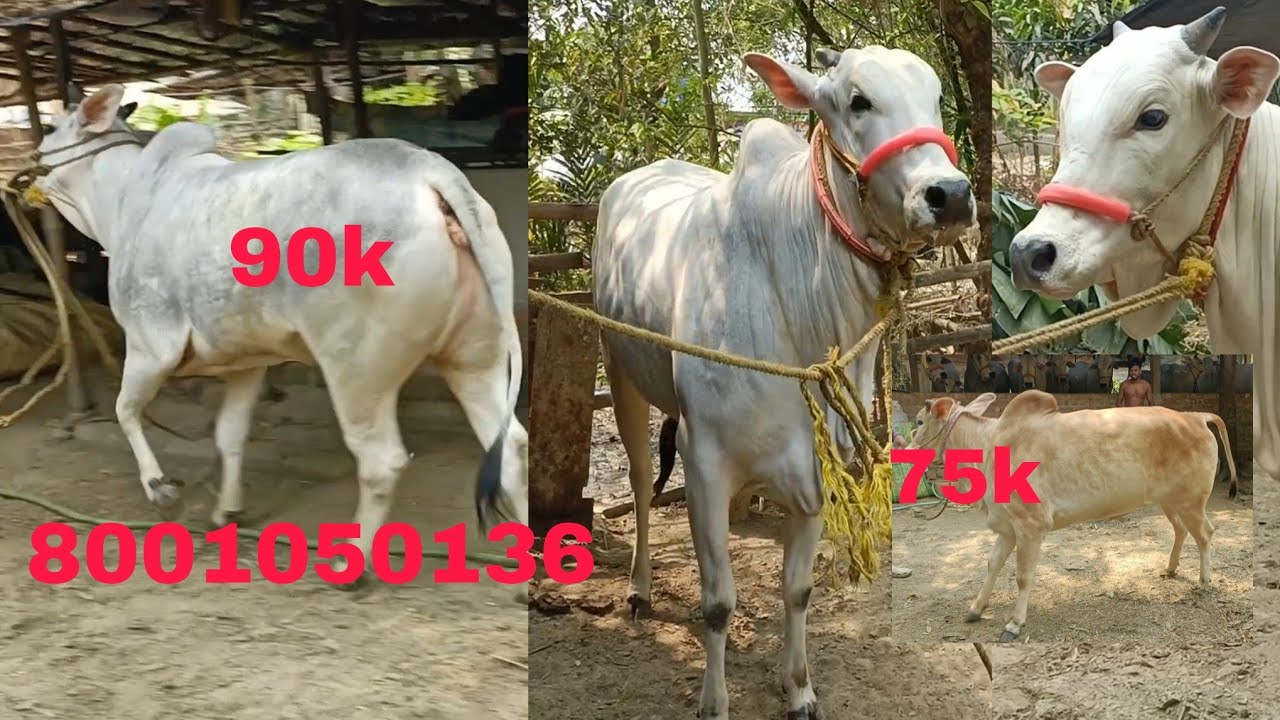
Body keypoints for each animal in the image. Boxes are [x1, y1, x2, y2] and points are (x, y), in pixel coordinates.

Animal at [29, 84, 527, 584]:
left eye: (52, 126)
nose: (31, 161)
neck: (123, 200)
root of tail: (428, 171)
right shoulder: (247, 361)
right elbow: (229, 434)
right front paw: (226, 511)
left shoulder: (151, 344)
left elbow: (125, 410)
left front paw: (161, 489)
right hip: (474, 356)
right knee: (512, 445)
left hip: (357, 370)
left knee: (381, 461)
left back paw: (350, 561)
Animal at [593, 45, 974, 719]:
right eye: (857, 100)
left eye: (933, 96)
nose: (950, 195)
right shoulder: (705, 464)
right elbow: (718, 603)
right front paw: (714, 701)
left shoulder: (819, 465)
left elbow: (797, 590)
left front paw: (797, 687)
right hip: (620, 373)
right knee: (639, 485)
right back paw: (638, 588)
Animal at [907, 390, 1237, 642]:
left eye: (919, 421)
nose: (905, 449)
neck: (989, 448)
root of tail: (1194, 416)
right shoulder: (1008, 528)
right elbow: (991, 566)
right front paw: (976, 609)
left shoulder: (1030, 525)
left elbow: (1023, 576)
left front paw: (1014, 623)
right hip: (1169, 501)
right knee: (1181, 531)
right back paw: (1170, 568)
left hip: (1190, 501)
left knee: (1205, 534)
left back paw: (1204, 581)